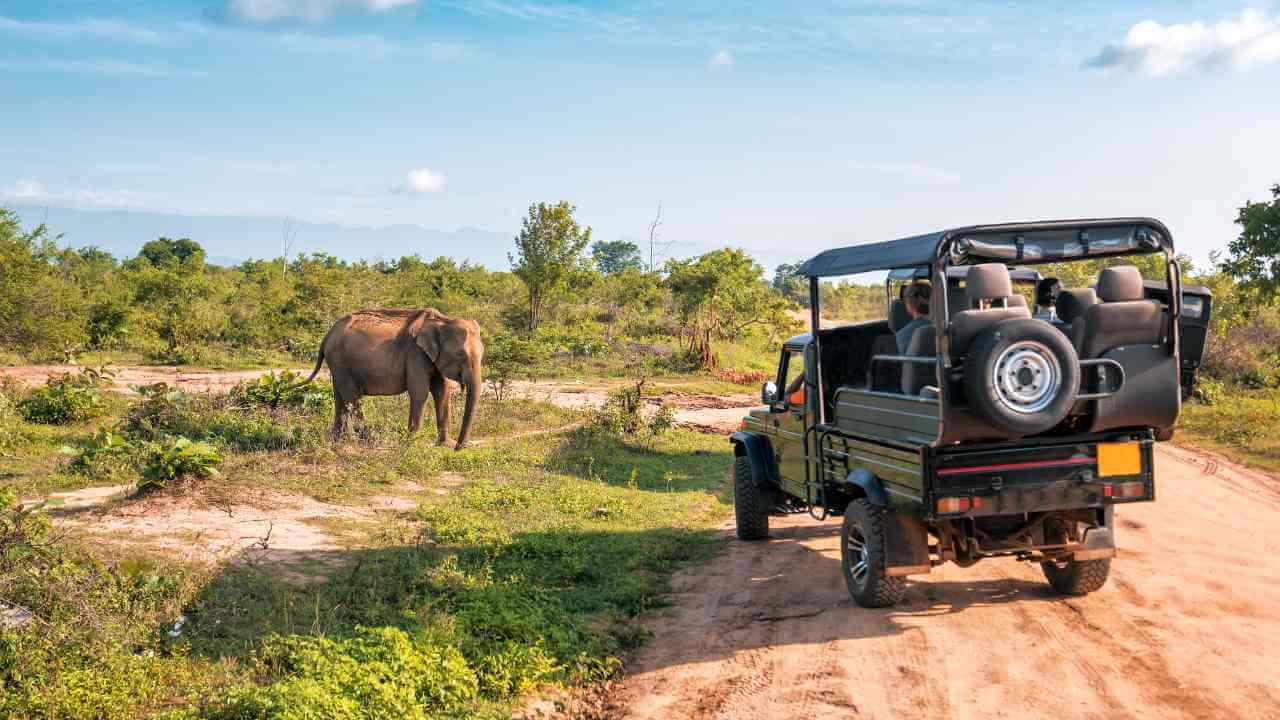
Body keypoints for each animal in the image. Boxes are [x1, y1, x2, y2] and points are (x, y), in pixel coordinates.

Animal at [294, 307, 483, 448]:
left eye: (482, 353)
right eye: (460, 354)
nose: (460, 447)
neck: (443, 321)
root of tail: (328, 335)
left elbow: (442, 392)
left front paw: (445, 445)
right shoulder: (415, 354)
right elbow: (420, 393)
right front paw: (413, 444)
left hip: (337, 365)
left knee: (340, 398)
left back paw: (338, 441)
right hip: (341, 362)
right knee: (352, 398)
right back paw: (368, 441)